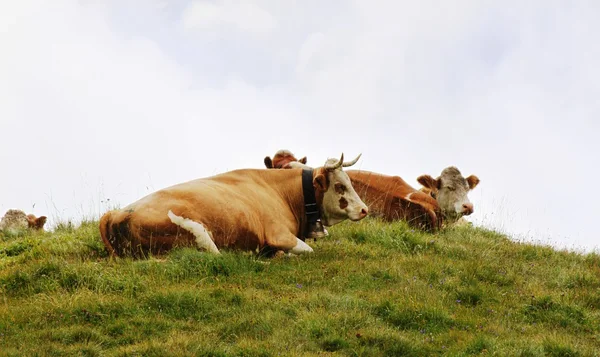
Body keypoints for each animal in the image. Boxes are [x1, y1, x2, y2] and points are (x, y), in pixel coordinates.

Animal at [98, 152, 368, 258]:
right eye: (340, 186)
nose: (364, 209)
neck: (285, 192)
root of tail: (115, 214)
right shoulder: (280, 235)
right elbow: (306, 250)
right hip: (200, 236)